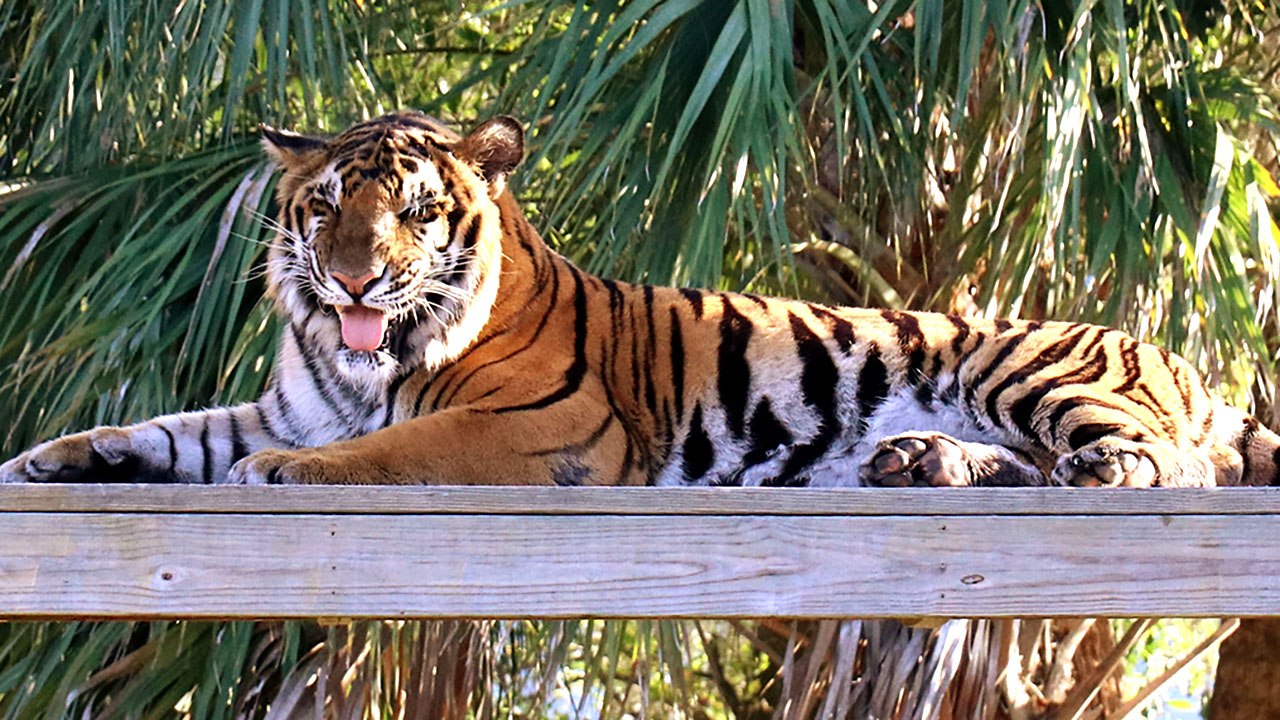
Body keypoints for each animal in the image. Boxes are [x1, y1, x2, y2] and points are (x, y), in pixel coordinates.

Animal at [2, 110, 1278, 491]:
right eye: (324, 210)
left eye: (410, 211)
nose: (356, 276)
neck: (365, 362)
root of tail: (1177, 358)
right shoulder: (284, 403)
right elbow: (171, 429)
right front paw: (57, 457)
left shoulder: (540, 429)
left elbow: (388, 450)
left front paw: (286, 477)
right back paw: (923, 465)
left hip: (1025, 368)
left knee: (1170, 466)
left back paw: (1078, 476)